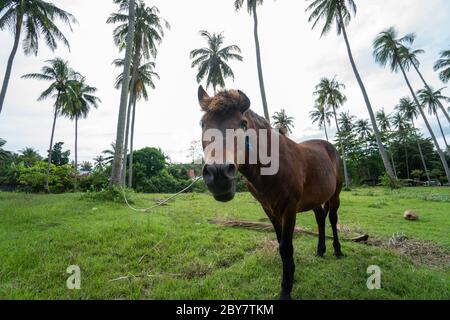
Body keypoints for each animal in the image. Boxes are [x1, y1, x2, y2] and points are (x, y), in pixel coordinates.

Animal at [198, 85, 344, 300]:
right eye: (203, 124)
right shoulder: (269, 209)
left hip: (335, 195)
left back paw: (338, 251)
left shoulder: (289, 208)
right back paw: (320, 250)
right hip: (315, 200)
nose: (218, 174)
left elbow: (286, 247)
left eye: (243, 124)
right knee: (320, 219)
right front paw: (291, 274)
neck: (272, 165)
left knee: (332, 219)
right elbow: (280, 242)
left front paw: (286, 289)